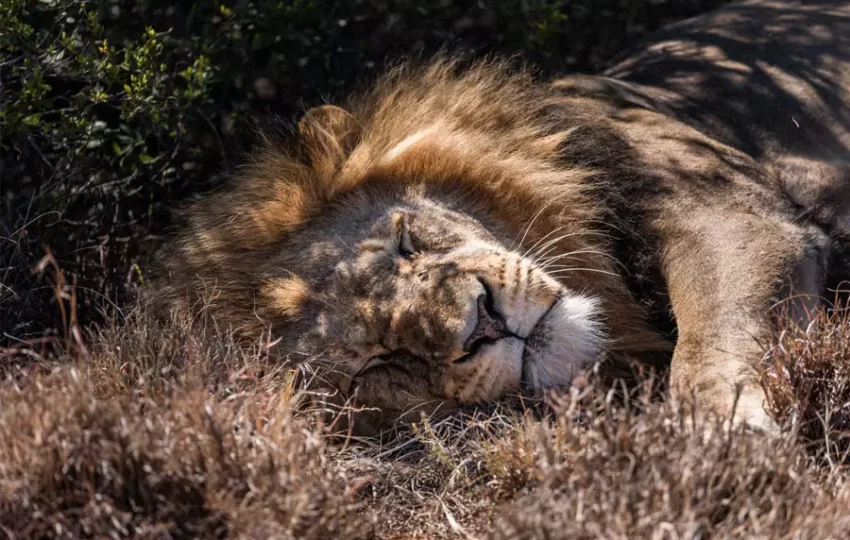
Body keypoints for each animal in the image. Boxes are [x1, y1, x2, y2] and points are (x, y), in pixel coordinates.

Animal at [161, 0, 848, 430]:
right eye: (381, 363)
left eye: (406, 241)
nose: (482, 325)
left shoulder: (727, 207)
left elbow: (713, 334)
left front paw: (718, 437)